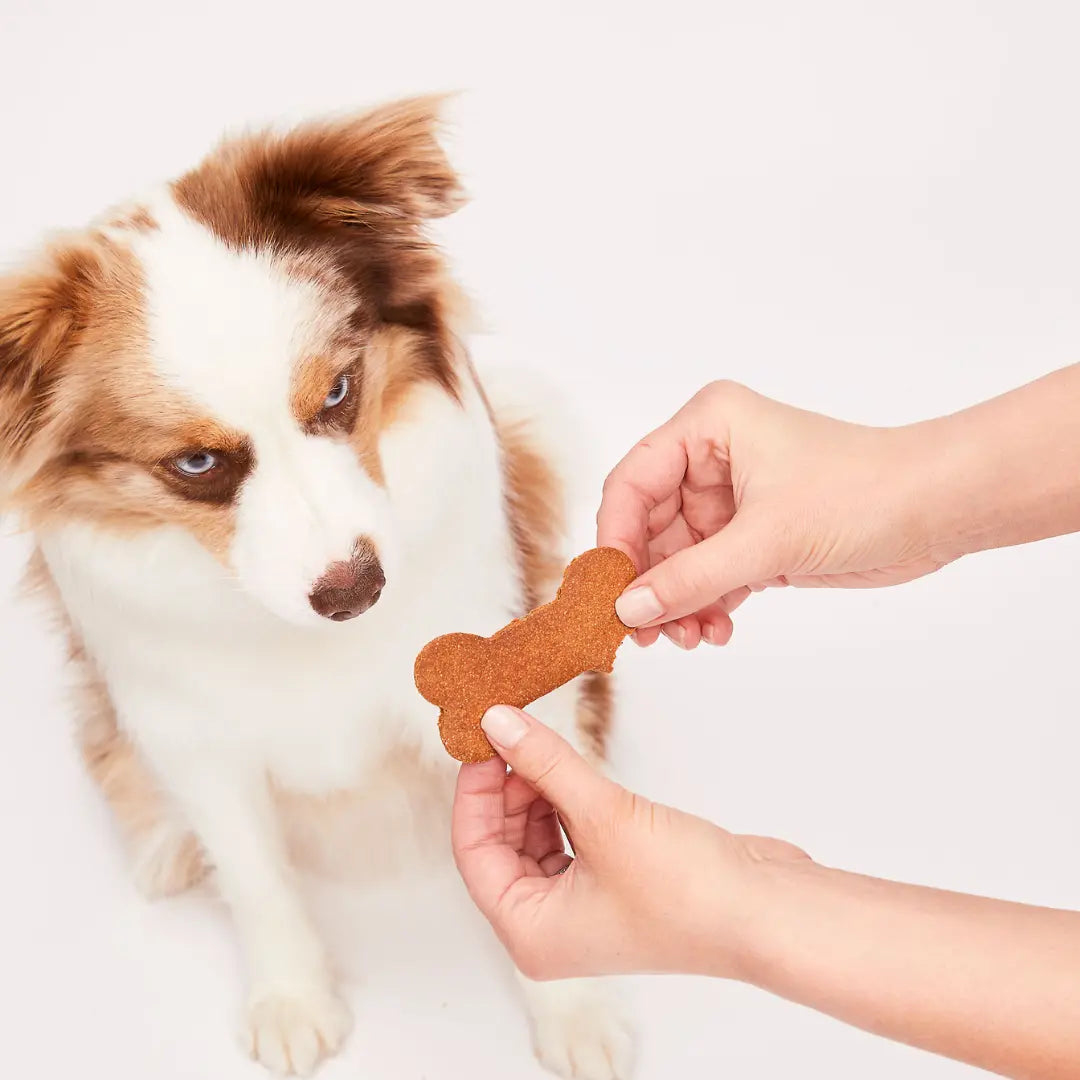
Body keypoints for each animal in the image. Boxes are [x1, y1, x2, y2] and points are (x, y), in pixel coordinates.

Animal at [0, 97, 630, 1075]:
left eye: (338, 392)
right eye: (195, 464)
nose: (353, 591)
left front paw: (576, 1010)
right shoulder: (194, 738)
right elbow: (256, 878)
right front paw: (292, 1000)